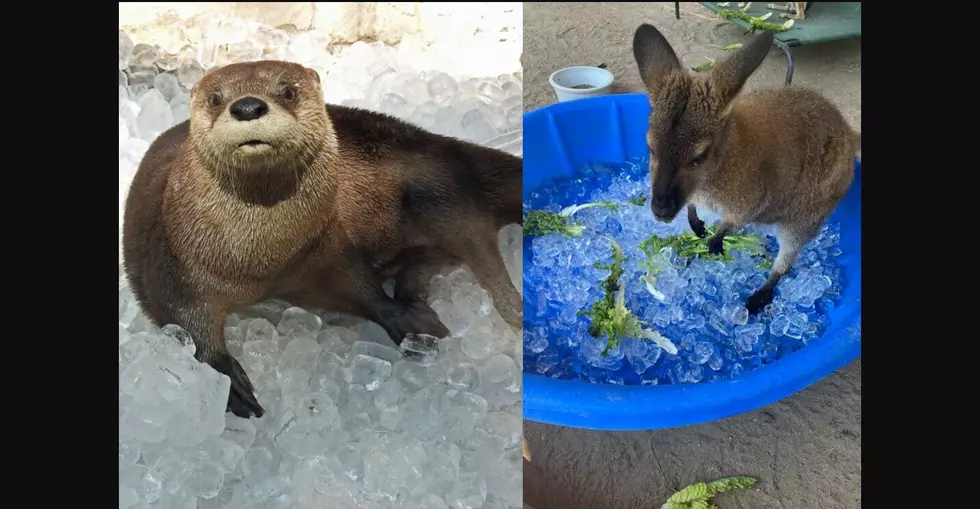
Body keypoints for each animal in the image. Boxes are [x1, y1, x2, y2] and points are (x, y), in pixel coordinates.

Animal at [125, 60, 524, 416]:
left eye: (288, 91)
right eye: (215, 98)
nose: (248, 106)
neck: (257, 261)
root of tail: (444, 145)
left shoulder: (324, 252)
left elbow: (358, 286)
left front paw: (403, 320)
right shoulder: (171, 263)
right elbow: (183, 323)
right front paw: (228, 381)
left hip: (438, 189)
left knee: (475, 241)